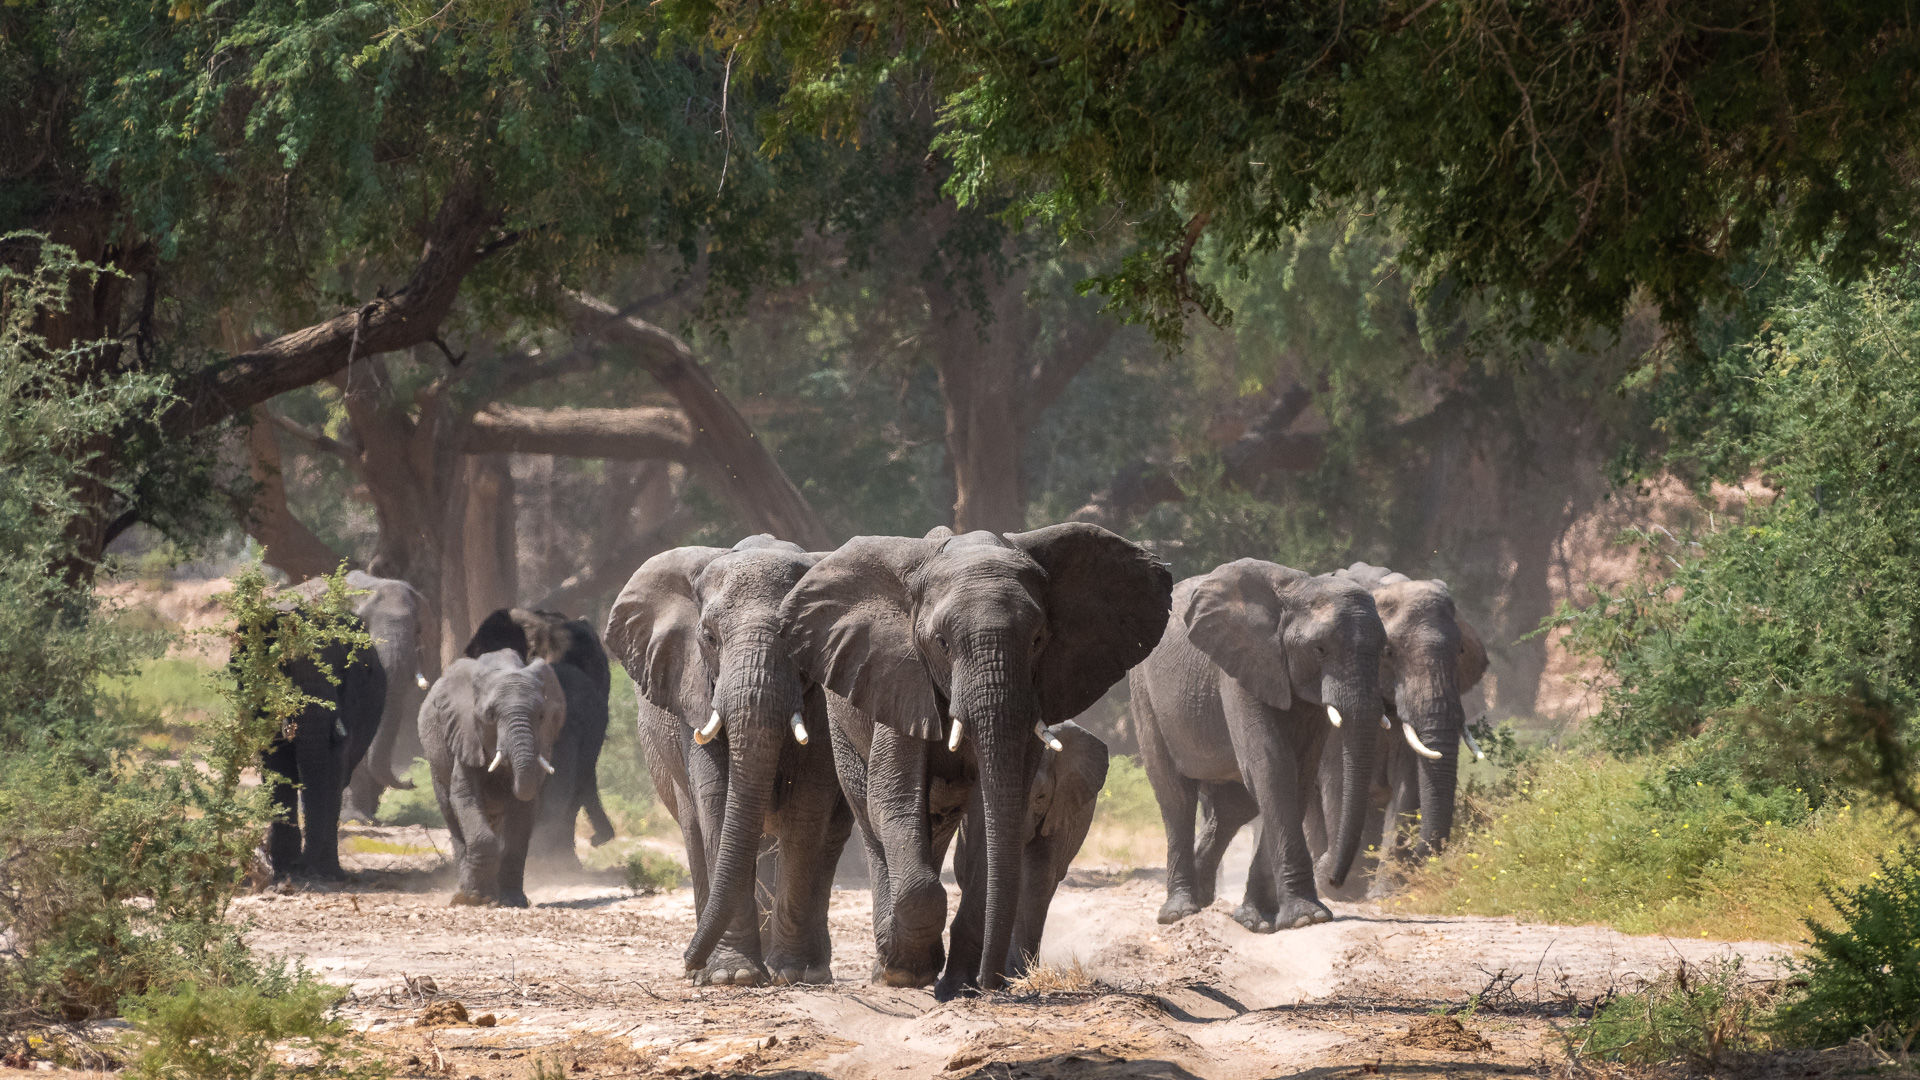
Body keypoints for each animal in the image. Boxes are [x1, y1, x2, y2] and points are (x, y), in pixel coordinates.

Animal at [416, 641, 564, 903]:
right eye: (490, 716)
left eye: (541, 716)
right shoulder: (464, 732)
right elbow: (465, 796)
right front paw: (475, 899)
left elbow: (522, 814)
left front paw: (513, 901)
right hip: (436, 764)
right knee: (451, 815)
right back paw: (466, 893)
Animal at [602, 530, 852, 983]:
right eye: (709, 637)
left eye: (797, 641)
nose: (687, 961)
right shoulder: (693, 688)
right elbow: (716, 800)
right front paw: (731, 977)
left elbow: (808, 806)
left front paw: (790, 973)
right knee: (694, 829)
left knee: (826, 839)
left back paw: (811, 969)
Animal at [779, 522, 1167, 991]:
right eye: (942, 643)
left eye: (1038, 640)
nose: (992, 982)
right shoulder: (900, 677)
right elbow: (894, 800)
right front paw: (908, 971)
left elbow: (992, 815)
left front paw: (959, 984)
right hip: (845, 723)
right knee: (872, 820)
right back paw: (888, 966)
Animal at [1121, 557, 1382, 930]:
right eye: (1319, 649)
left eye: (1385, 650)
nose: (1333, 880)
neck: (1302, 589)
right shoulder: (1241, 665)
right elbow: (1272, 764)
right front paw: (1307, 918)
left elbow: (1297, 775)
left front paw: (1256, 919)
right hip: (1143, 692)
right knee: (1176, 797)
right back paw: (1179, 912)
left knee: (1234, 807)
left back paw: (1205, 897)